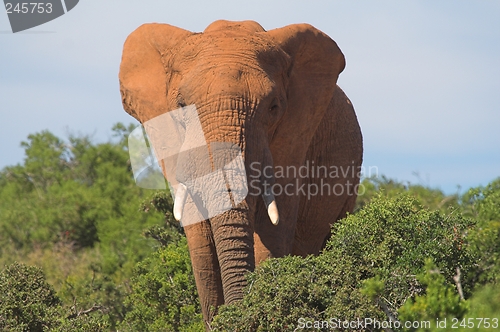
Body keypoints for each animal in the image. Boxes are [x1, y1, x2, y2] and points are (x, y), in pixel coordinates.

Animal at [121, 20, 364, 330]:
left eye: (273, 108)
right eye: (181, 106)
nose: (236, 314)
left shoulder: (295, 140)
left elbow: (272, 234)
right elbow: (200, 244)